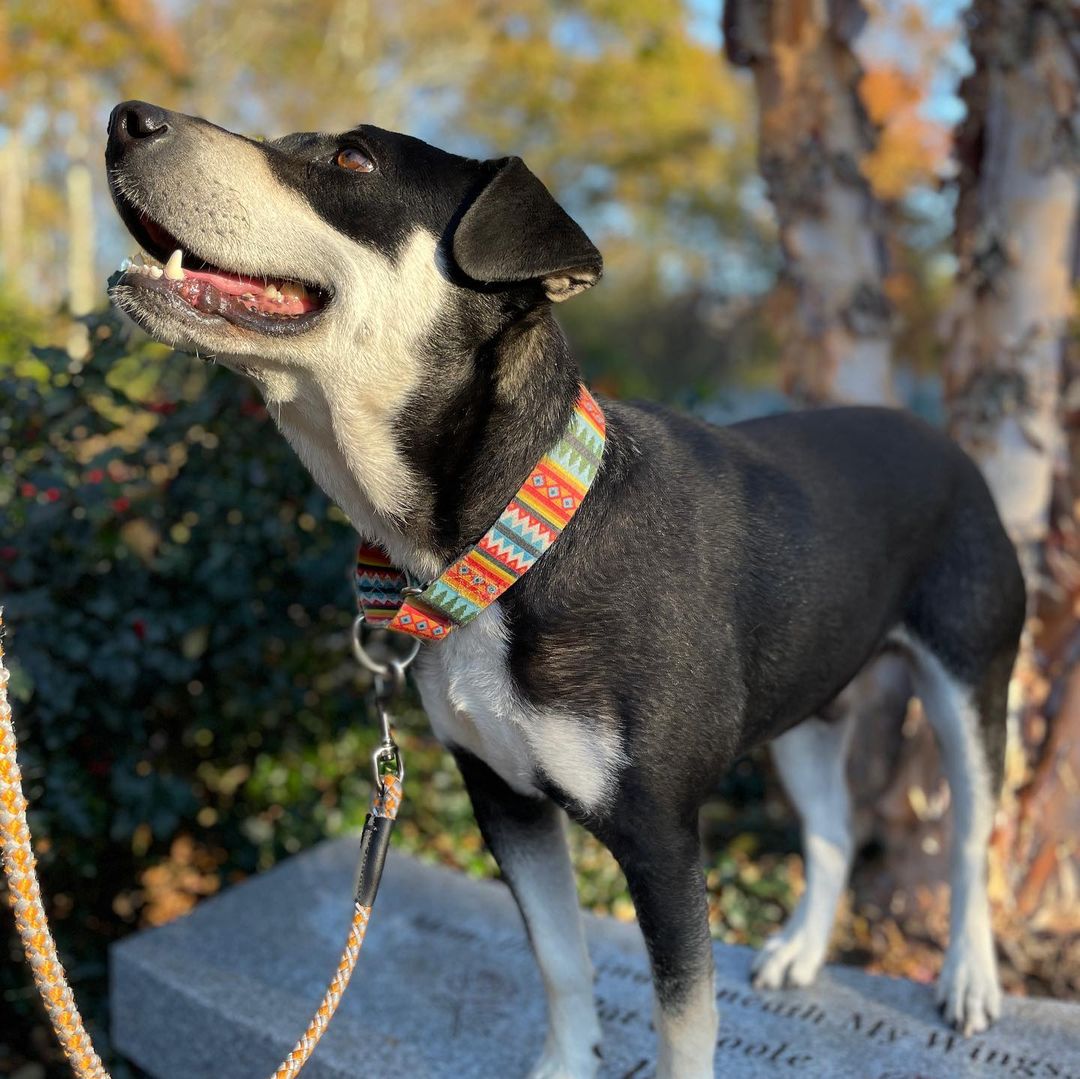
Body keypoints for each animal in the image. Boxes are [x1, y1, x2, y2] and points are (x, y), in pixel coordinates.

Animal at [105, 101, 1023, 1079]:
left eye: (352, 160)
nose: (126, 119)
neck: (513, 541)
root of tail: (944, 439)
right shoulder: (502, 796)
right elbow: (558, 955)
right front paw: (567, 1056)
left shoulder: (661, 834)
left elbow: (684, 1018)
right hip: (808, 703)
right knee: (833, 831)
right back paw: (803, 950)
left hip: (970, 683)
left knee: (969, 843)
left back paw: (969, 979)